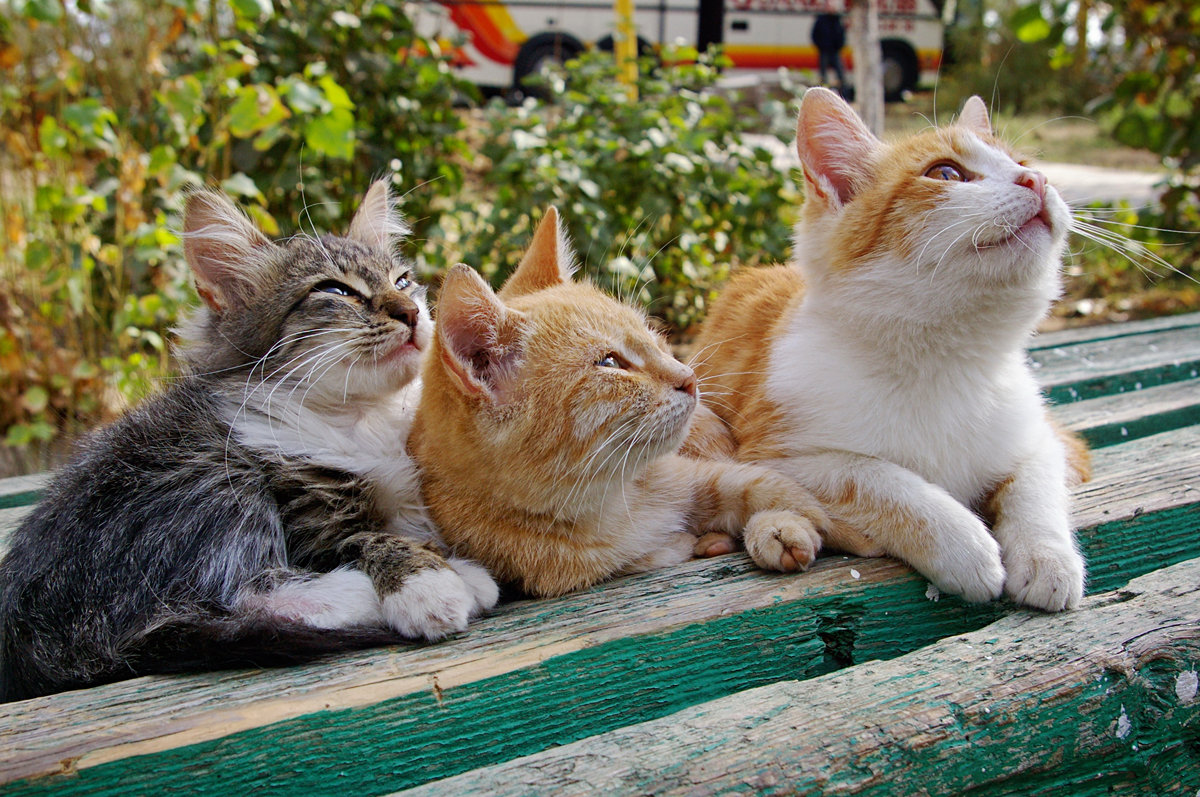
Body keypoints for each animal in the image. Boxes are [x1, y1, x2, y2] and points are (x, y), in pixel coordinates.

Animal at [0, 182, 496, 705]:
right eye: (335, 290)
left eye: (402, 282)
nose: (412, 312)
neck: (361, 417)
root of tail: (26, 640)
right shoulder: (306, 521)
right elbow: (368, 538)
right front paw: (429, 584)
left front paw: (448, 563)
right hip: (208, 482)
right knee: (209, 604)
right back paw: (381, 592)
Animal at [408, 208, 849, 595]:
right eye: (609, 363)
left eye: (653, 336)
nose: (689, 378)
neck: (608, 507)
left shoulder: (697, 475)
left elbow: (764, 485)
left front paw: (793, 522)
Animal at [691, 88, 1094, 609]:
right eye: (946, 174)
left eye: (1021, 162)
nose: (1038, 179)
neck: (945, 360)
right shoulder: (773, 450)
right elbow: (870, 477)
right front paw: (962, 545)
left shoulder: (1037, 432)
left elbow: (1037, 479)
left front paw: (1047, 553)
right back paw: (777, 530)